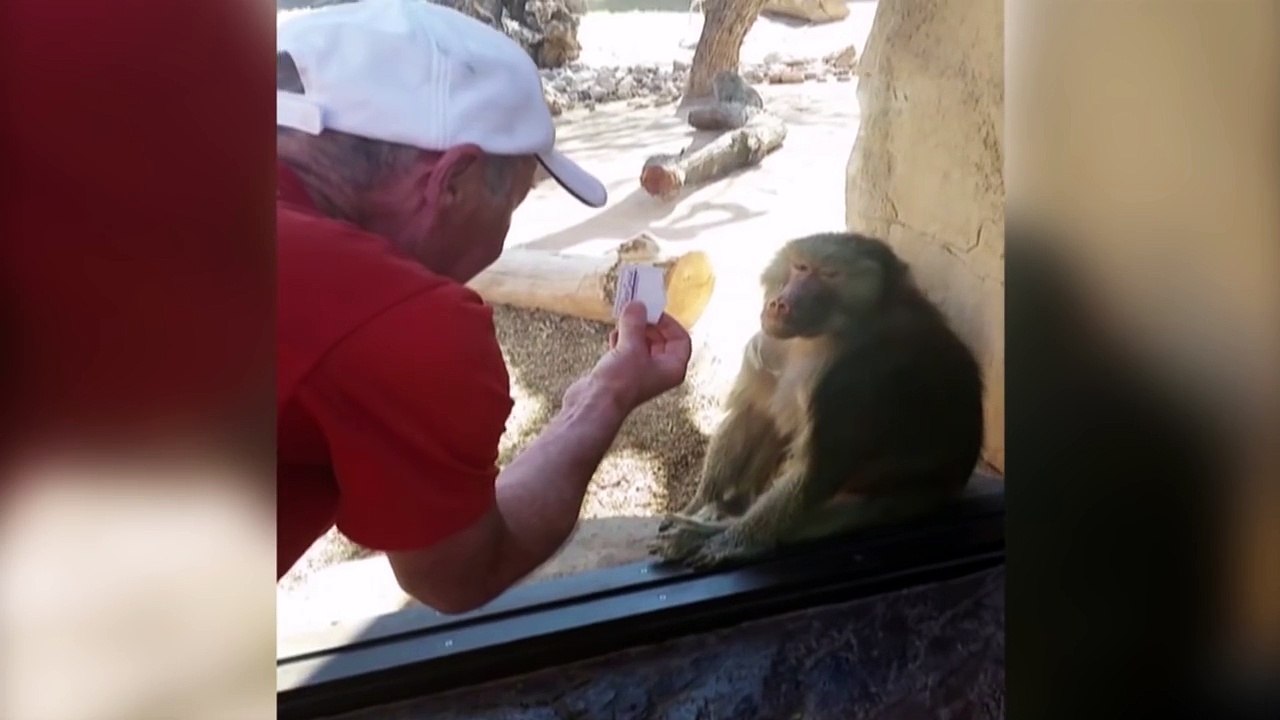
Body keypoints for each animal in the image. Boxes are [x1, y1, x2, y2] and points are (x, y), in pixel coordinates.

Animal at [649, 232, 985, 569]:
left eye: (829, 275)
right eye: (800, 267)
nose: (781, 303)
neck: (820, 335)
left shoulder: (852, 379)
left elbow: (815, 471)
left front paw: (731, 540)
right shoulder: (771, 344)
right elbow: (752, 415)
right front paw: (700, 505)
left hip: (908, 500)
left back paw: (705, 533)